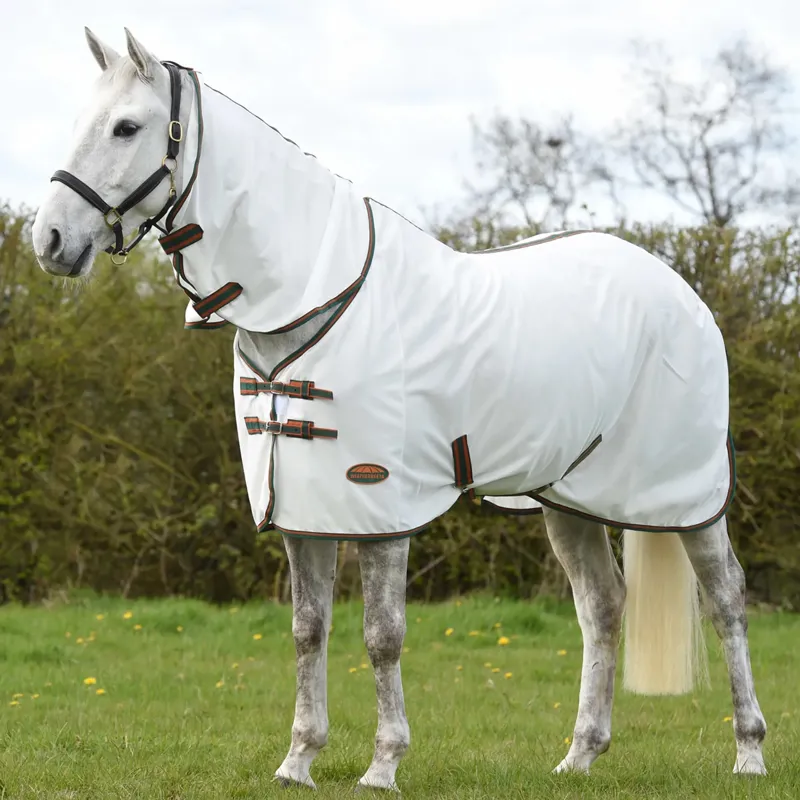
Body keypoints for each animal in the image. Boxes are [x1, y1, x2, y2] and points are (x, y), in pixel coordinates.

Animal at [31, 28, 767, 792]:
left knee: (726, 599)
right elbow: (308, 630)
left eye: (127, 127)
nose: (48, 240)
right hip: (568, 498)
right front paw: (298, 761)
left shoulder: (379, 507)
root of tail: (681, 290)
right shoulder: (304, 509)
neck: (313, 296)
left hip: (687, 496)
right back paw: (580, 755)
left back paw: (748, 752)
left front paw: (383, 764)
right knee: (602, 605)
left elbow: (382, 635)